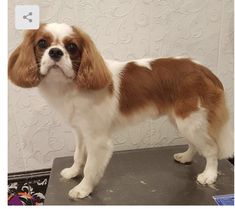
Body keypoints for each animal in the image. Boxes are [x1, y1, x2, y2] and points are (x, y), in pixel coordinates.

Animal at [8, 22, 233, 199]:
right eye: (42, 44)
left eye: (71, 47)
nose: (55, 52)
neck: (71, 86)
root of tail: (204, 70)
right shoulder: (80, 131)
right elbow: (78, 155)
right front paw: (73, 172)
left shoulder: (97, 139)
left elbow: (90, 166)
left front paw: (83, 189)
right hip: (182, 119)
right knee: (195, 144)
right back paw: (186, 157)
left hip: (190, 120)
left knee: (211, 148)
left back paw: (209, 174)